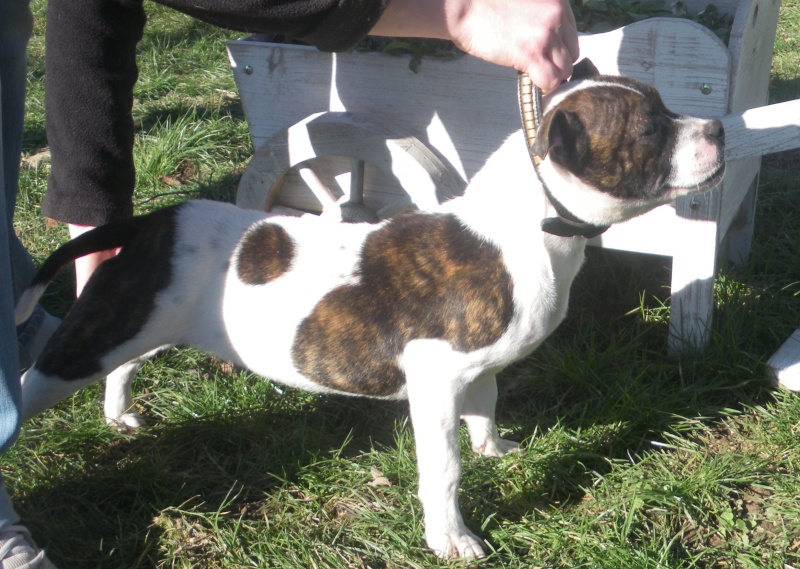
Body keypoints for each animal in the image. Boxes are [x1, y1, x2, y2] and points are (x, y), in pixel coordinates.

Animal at [15, 60, 724, 556]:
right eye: (649, 130)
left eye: (666, 105)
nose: (718, 127)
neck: (527, 226)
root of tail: (148, 224)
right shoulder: (436, 380)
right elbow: (444, 469)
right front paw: (452, 539)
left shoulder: (476, 368)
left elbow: (487, 407)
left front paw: (495, 449)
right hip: (90, 341)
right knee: (33, 381)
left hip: (148, 322)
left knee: (122, 365)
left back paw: (118, 414)